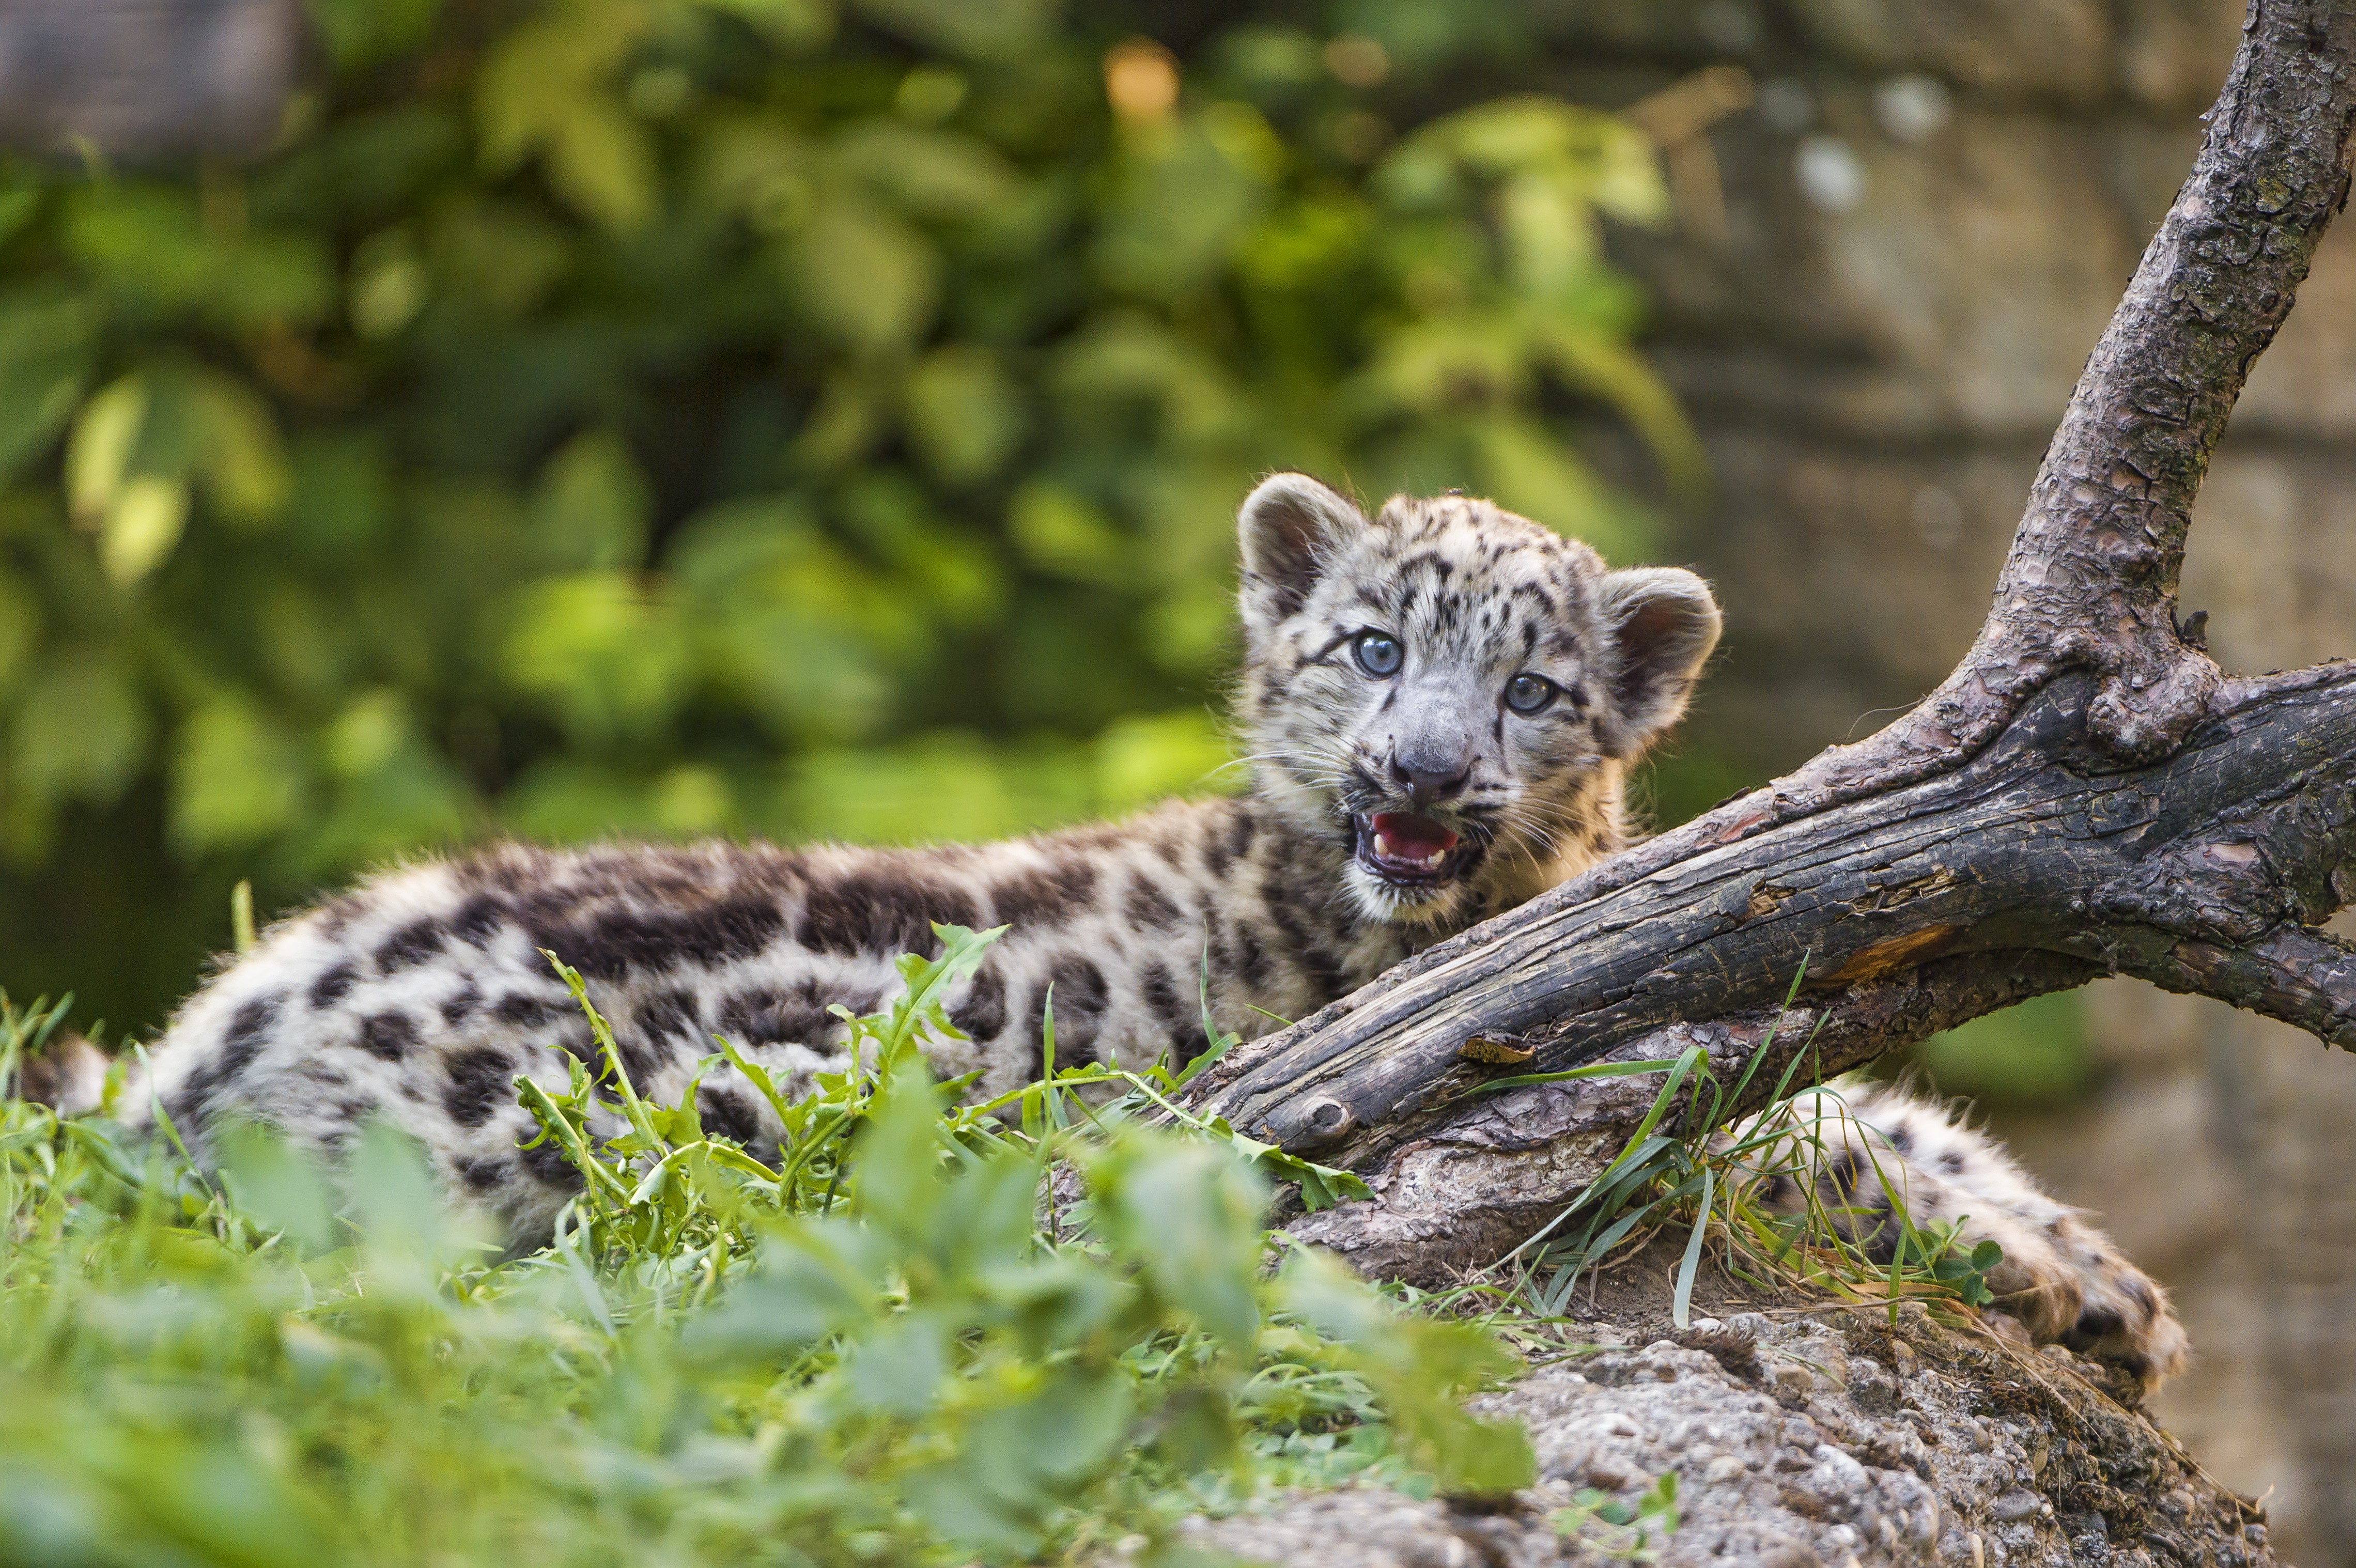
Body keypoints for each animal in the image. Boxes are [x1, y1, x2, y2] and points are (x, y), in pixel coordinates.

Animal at [20, 472, 2186, 1387]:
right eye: (1371, 643)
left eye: (1535, 688)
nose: (1423, 765)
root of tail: (219, 1037)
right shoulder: (1554, 1048)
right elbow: (1799, 1126)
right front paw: (2076, 1277)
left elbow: (1872, 1103)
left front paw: (2102, 1276)